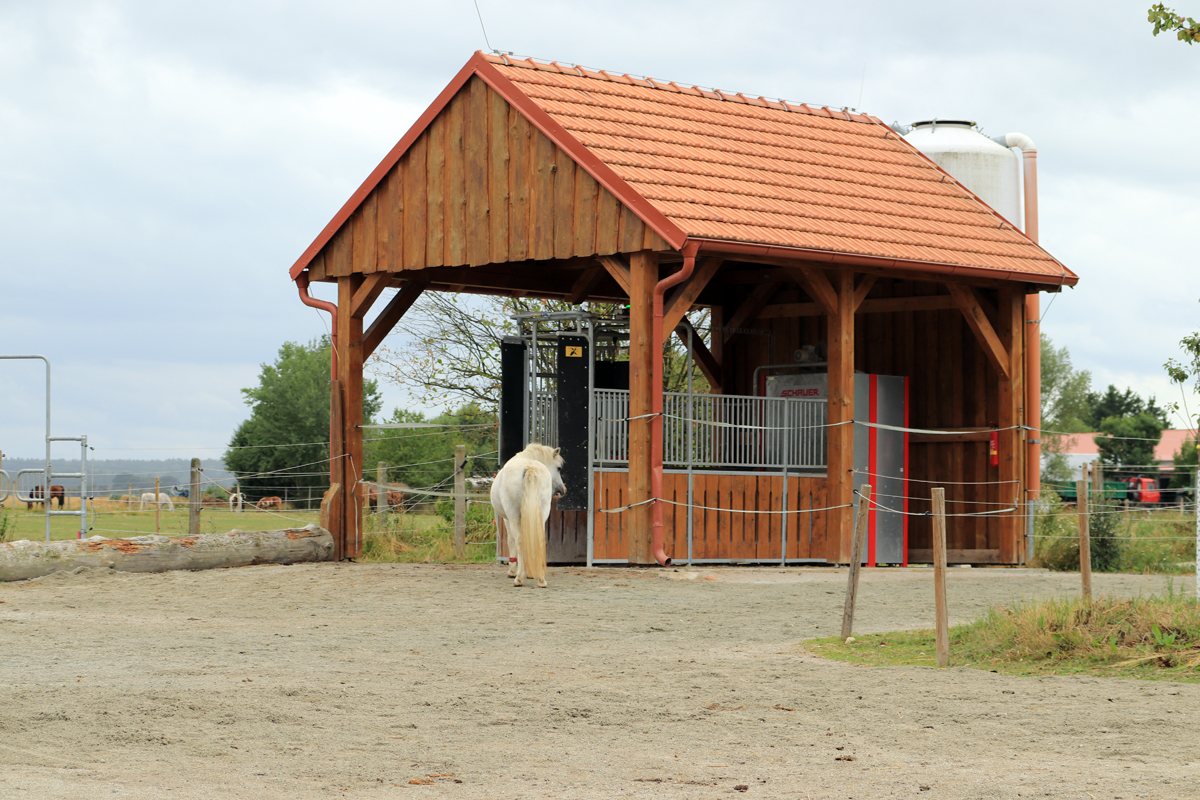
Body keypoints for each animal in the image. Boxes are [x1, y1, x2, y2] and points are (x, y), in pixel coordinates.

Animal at [489, 443, 564, 587]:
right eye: (558, 468)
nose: (562, 490)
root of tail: (529, 467)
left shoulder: (508, 519)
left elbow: (511, 541)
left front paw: (513, 572)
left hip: (513, 517)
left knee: (519, 541)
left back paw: (519, 579)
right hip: (541, 513)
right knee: (538, 539)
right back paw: (541, 579)